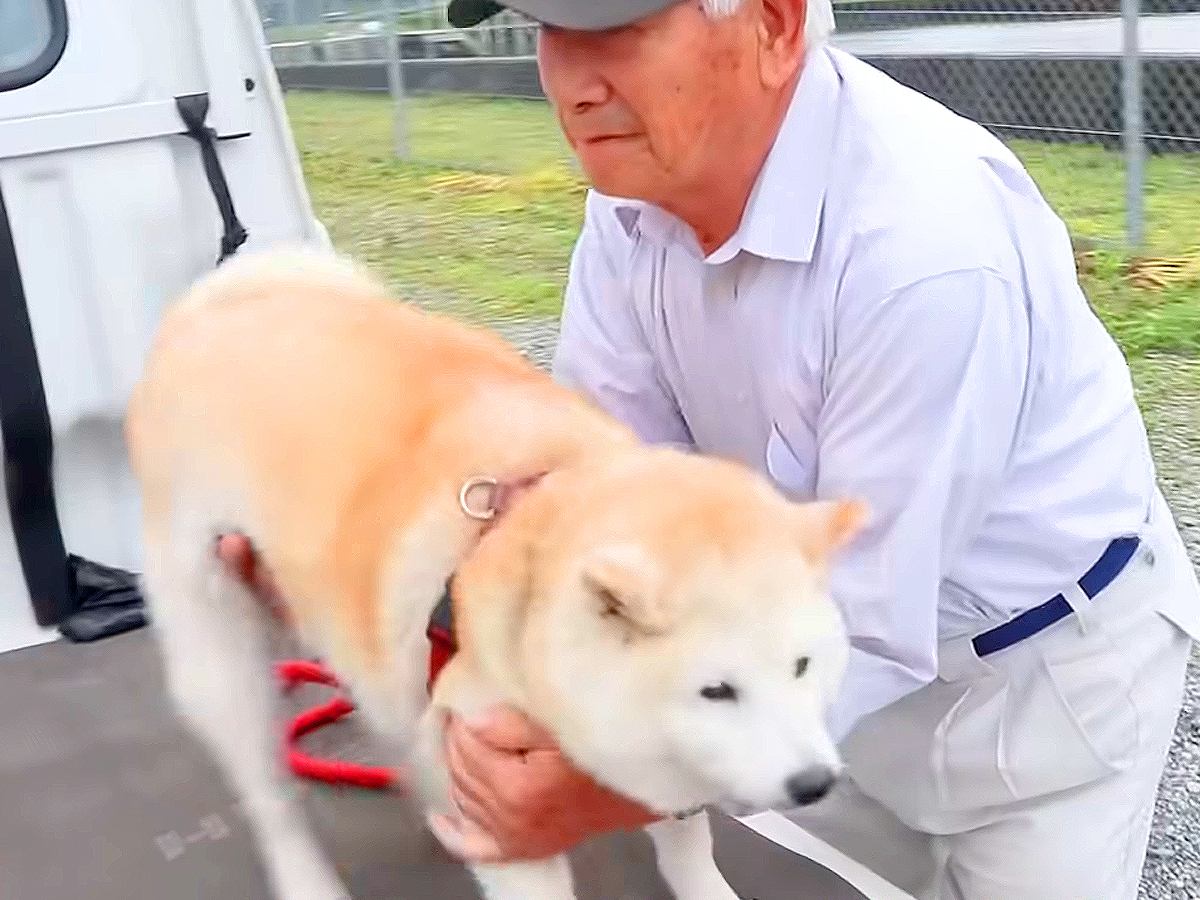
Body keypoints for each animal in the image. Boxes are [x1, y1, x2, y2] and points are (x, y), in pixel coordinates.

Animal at [124, 248, 864, 900]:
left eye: (803, 666)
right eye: (717, 691)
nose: (813, 784)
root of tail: (210, 305)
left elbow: (687, 845)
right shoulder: (505, 812)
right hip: (221, 656)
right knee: (270, 797)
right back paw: (307, 878)